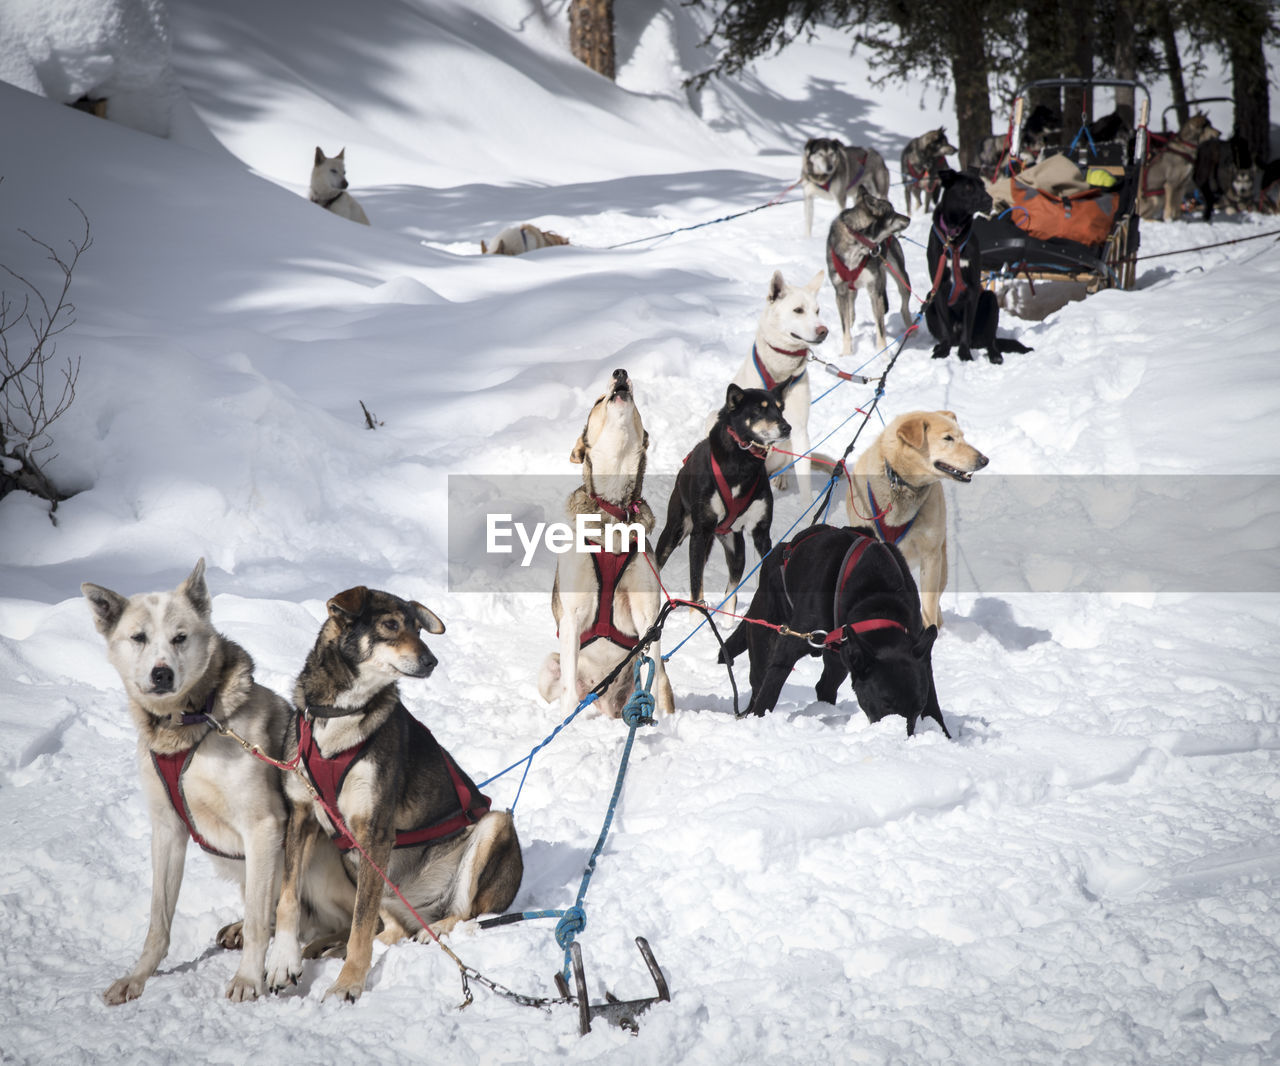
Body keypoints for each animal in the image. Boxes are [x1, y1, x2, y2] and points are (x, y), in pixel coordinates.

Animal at [721, 519, 952, 737]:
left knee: (825, 686)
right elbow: (771, 688)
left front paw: (944, 735)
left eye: (918, 707)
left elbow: (933, 701)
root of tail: (780, 549)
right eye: (886, 703)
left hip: (841, 658)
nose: (903, 737)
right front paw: (759, 718)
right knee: (759, 683)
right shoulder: (790, 647)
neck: (878, 604)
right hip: (764, 634)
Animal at [824, 189, 916, 355]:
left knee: (904, 308)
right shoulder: (840, 291)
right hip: (852, 290)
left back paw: (912, 331)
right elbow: (845, 328)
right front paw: (847, 354)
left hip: (901, 278)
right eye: (892, 212)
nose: (908, 218)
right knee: (851, 310)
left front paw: (884, 356)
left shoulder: (875, 290)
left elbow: (881, 329)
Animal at [921, 168, 1029, 363]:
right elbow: (945, 327)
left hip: (990, 301)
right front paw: (943, 351)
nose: (989, 199)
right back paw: (941, 346)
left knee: (990, 340)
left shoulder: (972, 289)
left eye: (983, 186)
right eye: (968, 187)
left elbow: (967, 327)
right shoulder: (938, 288)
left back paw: (994, 355)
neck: (954, 236)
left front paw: (964, 355)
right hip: (929, 302)